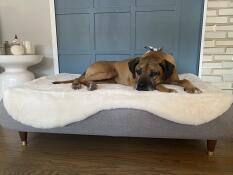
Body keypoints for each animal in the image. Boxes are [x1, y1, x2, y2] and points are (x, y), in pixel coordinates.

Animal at [52, 48, 200, 93]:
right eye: (138, 71)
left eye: (154, 73)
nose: (140, 87)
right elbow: (158, 85)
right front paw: (168, 89)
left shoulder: (173, 78)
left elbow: (185, 80)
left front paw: (193, 88)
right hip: (108, 72)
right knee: (80, 78)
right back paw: (77, 84)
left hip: (109, 79)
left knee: (85, 79)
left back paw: (91, 85)